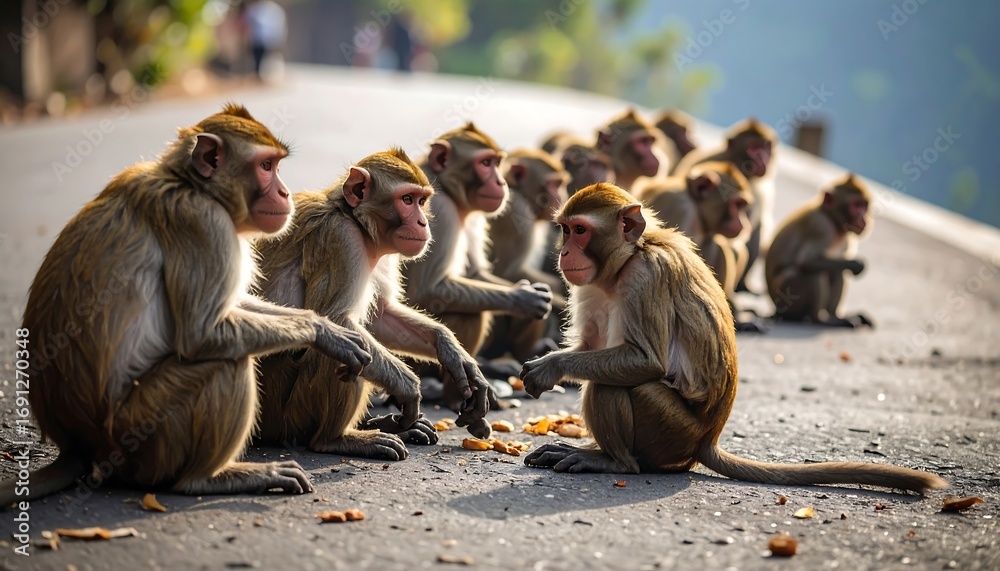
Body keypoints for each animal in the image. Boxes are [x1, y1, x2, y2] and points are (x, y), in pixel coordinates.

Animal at [0, 104, 373, 505]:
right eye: (266, 166)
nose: (284, 191)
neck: (192, 186)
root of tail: (76, 445)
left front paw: (325, 328)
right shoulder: (203, 223)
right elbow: (202, 333)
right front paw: (326, 334)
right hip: (141, 435)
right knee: (225, 361)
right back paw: (209, 479)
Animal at [253, 148, 494, 455]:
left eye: (421, 201)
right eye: (406, 200)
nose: (423, 222)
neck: (354, 220)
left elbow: (381, 316)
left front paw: (452, 352)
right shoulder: (342, 238)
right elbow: (334, 318)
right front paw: (408, 387)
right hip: (280, 413)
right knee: (344, 349)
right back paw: (337, 439)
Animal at [401, 123, 553, 409]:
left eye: (496, 163)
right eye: (484, 163)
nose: (501, 182)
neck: (447, 188)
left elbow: (475, 273)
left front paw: (531, 294)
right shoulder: (440, 211)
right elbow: (429, 290)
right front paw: (523, 298)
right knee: (470, 313)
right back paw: (455, 398)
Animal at [765, 174, 875, 328]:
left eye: (864, 206)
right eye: (855, 206)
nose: (863, 220)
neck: (834, 221)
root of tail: (775, 310)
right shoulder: (820, 227)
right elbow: (807, 261)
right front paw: (856, 264)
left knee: (836, 270)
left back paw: (835, 316)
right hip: (785, 297)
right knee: (809, 271)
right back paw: (820, 319)